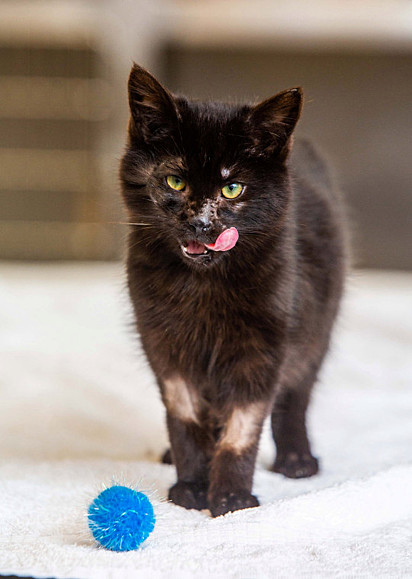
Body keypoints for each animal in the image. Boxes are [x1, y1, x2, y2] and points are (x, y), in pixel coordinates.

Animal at [120, 65, 348, 520]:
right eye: (175, 181)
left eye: (232, 188)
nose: (201, 223)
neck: (204, 286)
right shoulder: (164, 343)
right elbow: (184, 418)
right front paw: (192, 486)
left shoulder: (263, 348)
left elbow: (244, 425)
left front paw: (230, 499)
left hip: (317, 328)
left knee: (296, 396)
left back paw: (297, 459)